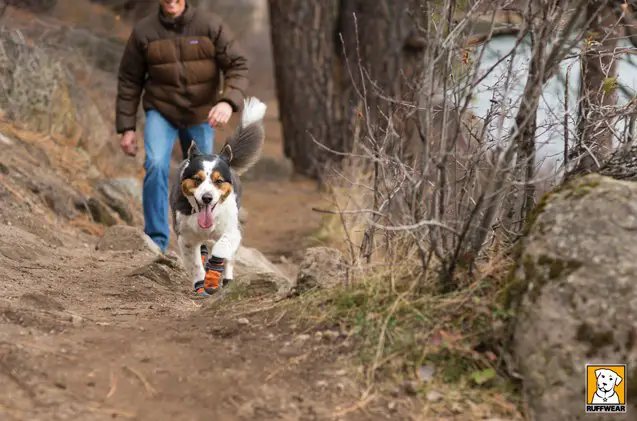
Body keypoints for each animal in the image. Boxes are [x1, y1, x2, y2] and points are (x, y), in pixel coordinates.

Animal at [169, 97, 266, 296]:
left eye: (218, 181)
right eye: (197, 179)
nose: (207, 198)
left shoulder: (233, 230)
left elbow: (222, 249)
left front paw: (214, 273)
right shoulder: (185, 237)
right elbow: (195, 264)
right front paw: (201, 284)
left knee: (228, 257)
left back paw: (226, 277)